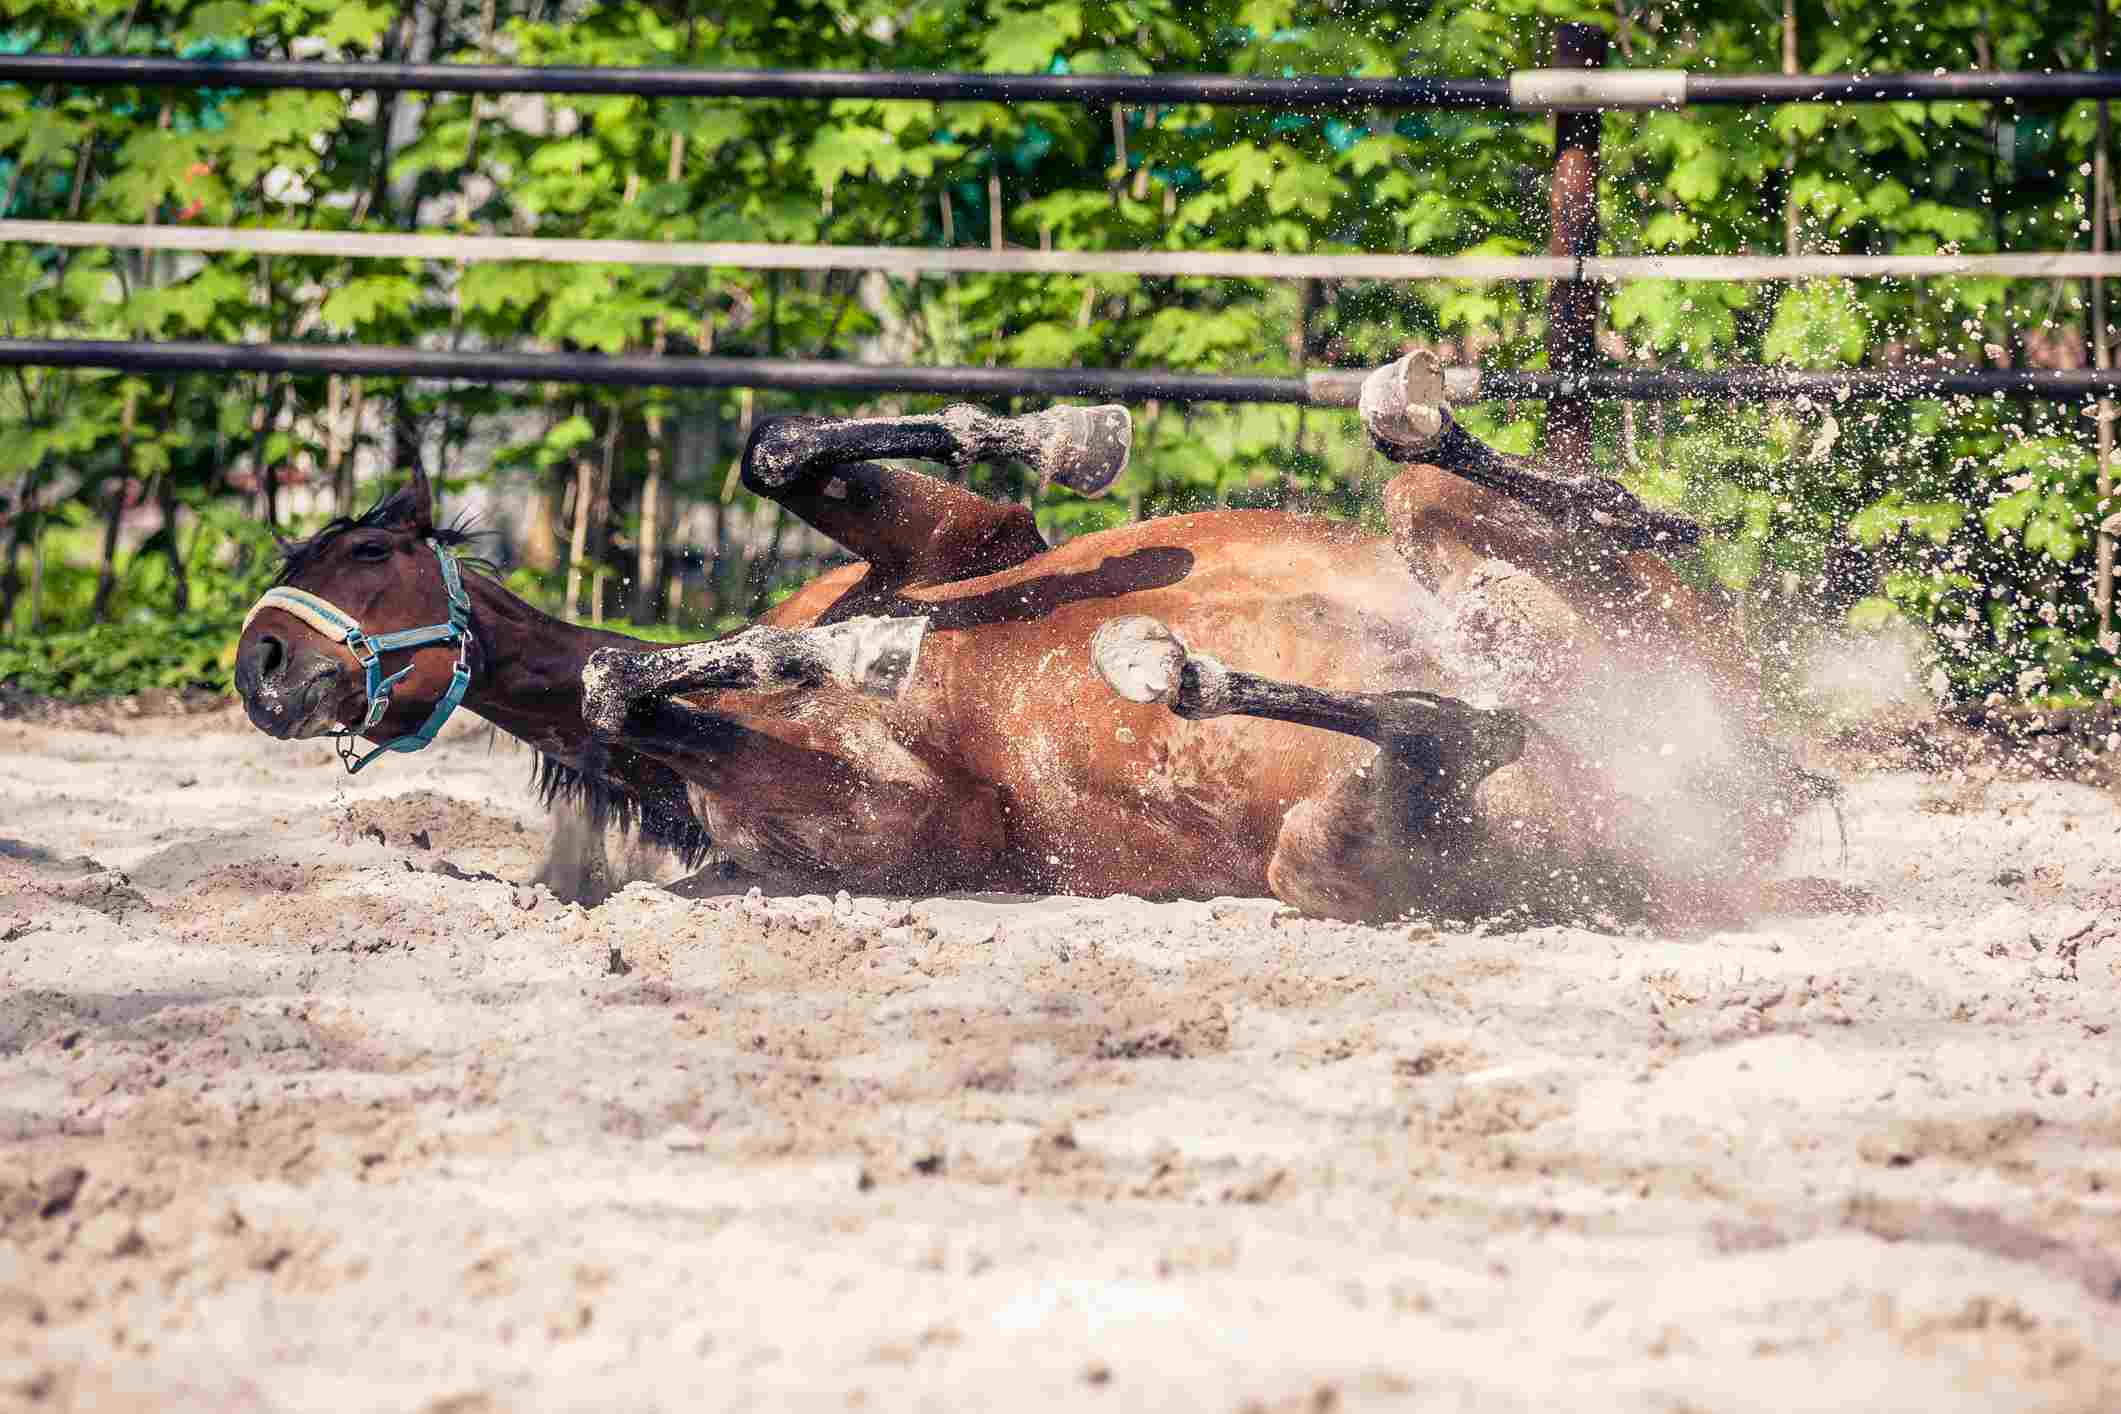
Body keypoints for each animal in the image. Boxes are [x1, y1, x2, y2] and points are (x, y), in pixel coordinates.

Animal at [236, 360, 1824, 924]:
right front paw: (847, 662)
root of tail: (1744, 787)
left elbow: (780, 449)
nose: (263, 663)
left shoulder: (966, 547)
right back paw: (1170, 667)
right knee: (1456, 726)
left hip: (1466, 544)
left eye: (361, 552)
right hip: (1336, 849)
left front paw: (1073, 429)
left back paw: (1412, 406)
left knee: (1587, 514)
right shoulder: (900, 826)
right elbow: (629, 685)